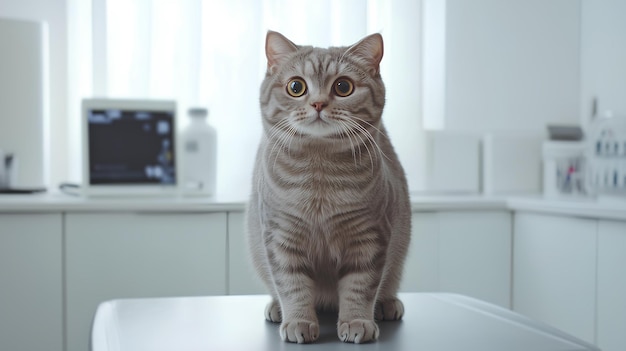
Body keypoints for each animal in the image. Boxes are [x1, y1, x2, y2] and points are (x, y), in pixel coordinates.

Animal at [246, 31, 412, 346]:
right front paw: (298, 321)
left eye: (343, 87)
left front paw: (357, 321)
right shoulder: (280, 236)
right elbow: (292, 285)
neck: (319, 177)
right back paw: (277, 308)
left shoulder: (369, 237)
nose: (318, 104)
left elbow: (360, 287)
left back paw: (386, 304)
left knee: (387, 284)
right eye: (296, 87)